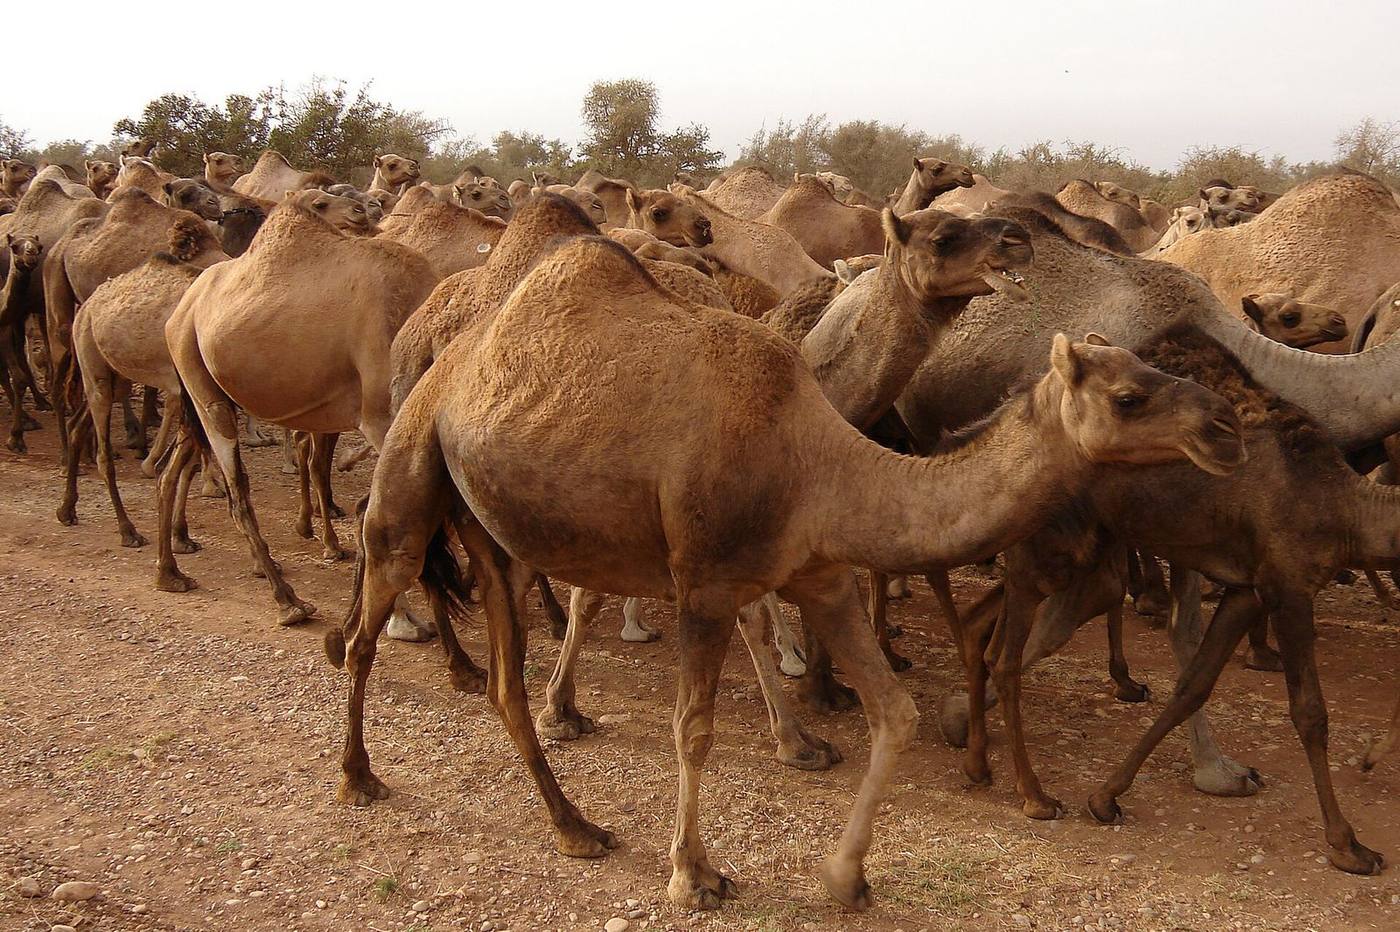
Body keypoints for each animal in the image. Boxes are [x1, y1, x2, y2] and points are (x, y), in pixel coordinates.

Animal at [159, 189, 437, 628]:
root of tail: (181, 309)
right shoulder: (380, 415)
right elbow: (380, 514)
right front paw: (405, 621)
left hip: (201, 385)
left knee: (171, 470)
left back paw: (170, 570)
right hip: (200, 379)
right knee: (238, 491)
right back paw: (288, 602)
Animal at [323, 222, 1241, 911]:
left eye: (1152, 367)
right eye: (1130, 396)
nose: (1224, 427)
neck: (819, 456)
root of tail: (451, 356)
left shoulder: (821, 574)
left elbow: (896, 711)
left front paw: (845, 876)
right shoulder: (703, 581)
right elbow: (694, 729)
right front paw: (694, 874)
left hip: (498, 535)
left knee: (506, 685)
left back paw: (574, 825)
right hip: (409, 476)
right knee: (371, 618)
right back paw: (360, 772)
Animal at [941, 326, 1387, 876]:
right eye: (1128, 400)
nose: (1225, 431)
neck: (1345, 506)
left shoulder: (1248, 589)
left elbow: (1192, 685)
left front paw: (1109, 796)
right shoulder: (1289, 585)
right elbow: (1310, 713)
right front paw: (1348, 844)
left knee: (988, 623)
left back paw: (971, 748)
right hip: (1048, 552)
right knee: (1012, 648)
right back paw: (1017, 781)